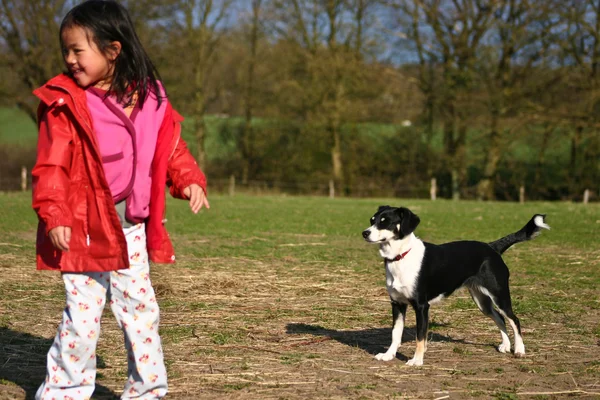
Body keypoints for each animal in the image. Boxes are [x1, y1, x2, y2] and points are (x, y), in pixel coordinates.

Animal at [360, 208, 548, 368]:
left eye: (385, 222)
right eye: (372, 220)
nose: (365, 233)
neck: (401, 257)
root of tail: (492, 247)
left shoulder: (421, 306)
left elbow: (420, 337)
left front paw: (417, 360)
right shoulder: (397, 304)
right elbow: (395, 334)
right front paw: (388, 355)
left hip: (499, 295)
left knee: (514, 319)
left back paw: (519, 350)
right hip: (482, 301)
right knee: (500, 318)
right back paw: (505, 345)